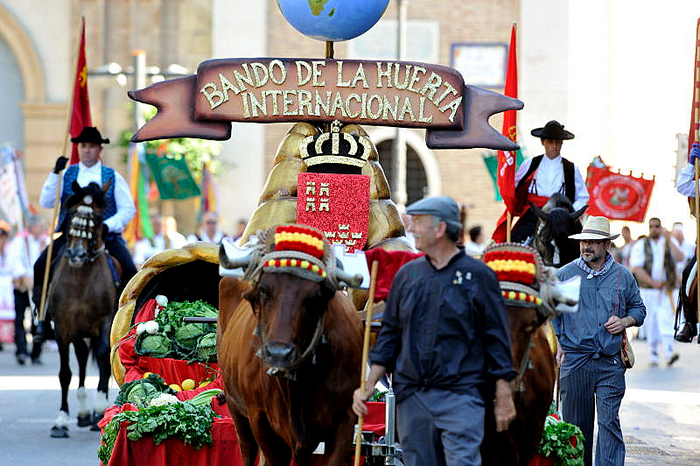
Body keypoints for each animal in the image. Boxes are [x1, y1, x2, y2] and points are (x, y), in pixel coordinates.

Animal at [47, 181, 119, 436]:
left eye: (97, 219)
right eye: (70, 214)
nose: (76, 254)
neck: (81, 279)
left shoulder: (106, 321)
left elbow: (104, 358)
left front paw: (100, 409)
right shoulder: (62, 327)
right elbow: (65, 373)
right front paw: (61, 420)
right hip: (79, 332)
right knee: (80, 359)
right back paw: (83, 413)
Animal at [217, 224, 360, 464]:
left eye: (315, 297)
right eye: (263, 290)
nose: (279, 353)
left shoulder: (345, 419)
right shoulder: (260, 419)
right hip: (235, 407)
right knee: (247, 450)